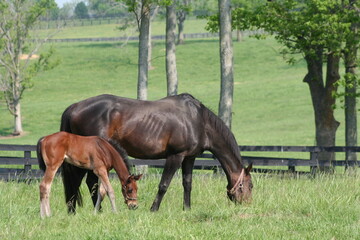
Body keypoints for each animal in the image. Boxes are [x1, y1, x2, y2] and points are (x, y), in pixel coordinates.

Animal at [59, 94, 253, 212]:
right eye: (250, 186)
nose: (248, 205)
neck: (198, 120)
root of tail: (75, 107)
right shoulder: (175, 156)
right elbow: (164, 185)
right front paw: (153, 209)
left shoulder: (189, 157)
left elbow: (187, 183)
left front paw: (187, 209)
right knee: (86, 181)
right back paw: (94, 210)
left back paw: (77, 210)